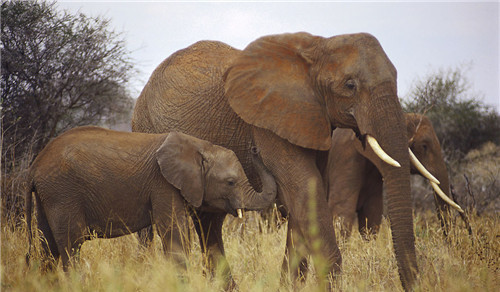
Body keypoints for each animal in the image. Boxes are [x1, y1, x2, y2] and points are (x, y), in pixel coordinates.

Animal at [24, 125, 278, 272]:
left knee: (48, 247)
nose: (255, 148)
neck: (199, 146)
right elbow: (175, 233)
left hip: (50, 196)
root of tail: (34, 167)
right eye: (231, 182)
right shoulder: (163, 185)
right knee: (71, 245)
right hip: (63, 192)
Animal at [131, 32, 424, 290]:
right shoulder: (267, 125)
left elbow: (306, 197)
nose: (414, 284)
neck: (316, 47)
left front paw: (288, 286)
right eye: (350, 85)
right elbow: (304, 189)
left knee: (209, 222)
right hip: (145, 131)